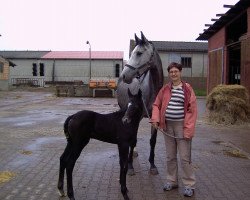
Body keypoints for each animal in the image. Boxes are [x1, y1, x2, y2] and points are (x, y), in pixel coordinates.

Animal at [117, 31, 164, 175]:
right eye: (132, 53)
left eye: (139, 53)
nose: (124, 75)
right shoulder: (135, 117)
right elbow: (133, 140)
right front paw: (130, 167)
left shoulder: (155, 118)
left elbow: (153, 141)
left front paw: (153, 165)